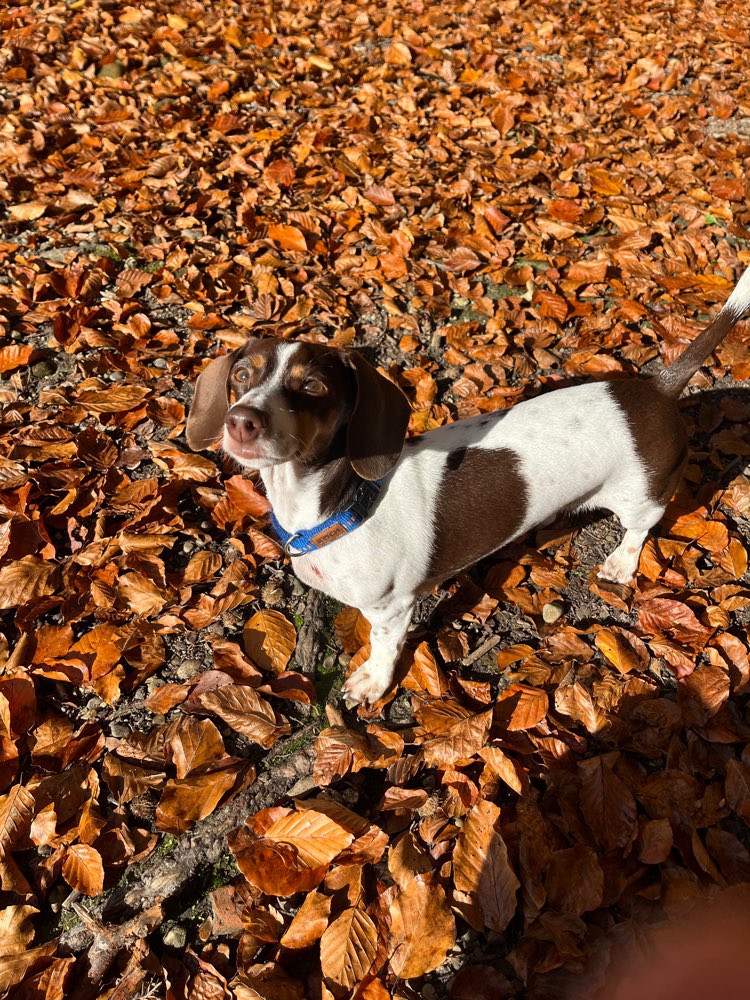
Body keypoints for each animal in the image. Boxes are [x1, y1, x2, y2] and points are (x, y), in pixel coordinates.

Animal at [187, 266, 750, 704]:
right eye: (241, 375)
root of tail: (656, 390)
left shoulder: (392, 609)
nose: (241, 421)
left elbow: (385, 646)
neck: (341, 505)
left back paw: (620, 563)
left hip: (641, 494)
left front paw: (372, 681)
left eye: (313, 386)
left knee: (640, 528)